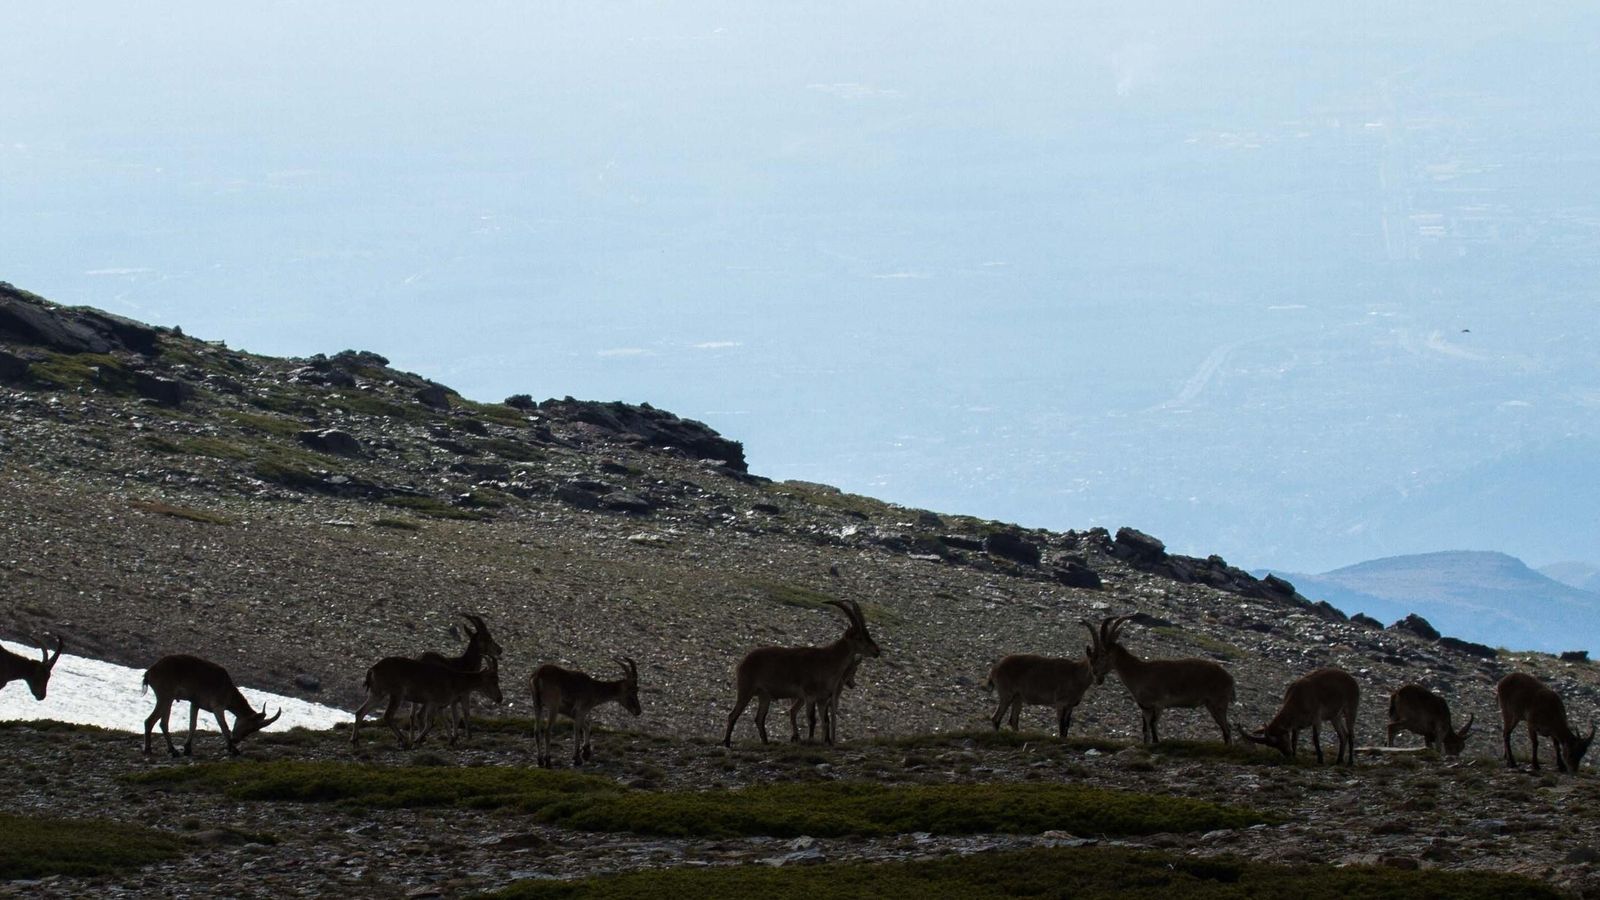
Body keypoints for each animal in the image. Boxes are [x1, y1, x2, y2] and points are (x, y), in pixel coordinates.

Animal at [142, 654, 281, 757]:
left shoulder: (195, 703)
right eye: (249, 727)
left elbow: (193, 725)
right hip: (165, 696)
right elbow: (224, 727)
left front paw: (187, 749)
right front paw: (233, 750)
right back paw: (150, 750)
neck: (228, 690)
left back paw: (172, 750)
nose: (235, 740)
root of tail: (149, 673)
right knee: (151, 720)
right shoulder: (217, 706)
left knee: (162, 723)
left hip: (167, 699)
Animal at [351, 655, 502, 749]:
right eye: (494, 680)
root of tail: (372, 669)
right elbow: (430, 722)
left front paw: (451, 741)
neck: (454, 681)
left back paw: (355, 741)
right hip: (396, 694)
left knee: (360, 712)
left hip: (377, 693)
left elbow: (442, 722)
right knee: (387, 715)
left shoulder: (438, 705)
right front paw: (417, 741)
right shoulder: (432, 702)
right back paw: (404, 741)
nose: (500, 698)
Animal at [723, 597, 880, 746]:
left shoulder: (823, 699)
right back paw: (727, 743)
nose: (877, 651)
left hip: (764, 695)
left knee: (759, 718)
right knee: (733, 714)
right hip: (746, 689)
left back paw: (766, 743)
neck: (828, 662)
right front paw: (810, 741)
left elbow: (825, 721)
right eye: (859, 637)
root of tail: (743, 661)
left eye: (868, 634)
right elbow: (812, 719)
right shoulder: (809, 696)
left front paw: (826, 743)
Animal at [1088, 615, 1234, 744]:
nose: (1095, 672)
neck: (1139, 672)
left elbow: (1153, 726)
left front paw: (1156, 743)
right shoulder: (1145, 708)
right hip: (1210, 705)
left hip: (1218, 703)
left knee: (1227, 729)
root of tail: (1229, 678)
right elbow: (1145, 729)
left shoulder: (1159, 705)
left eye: (1102, 654)